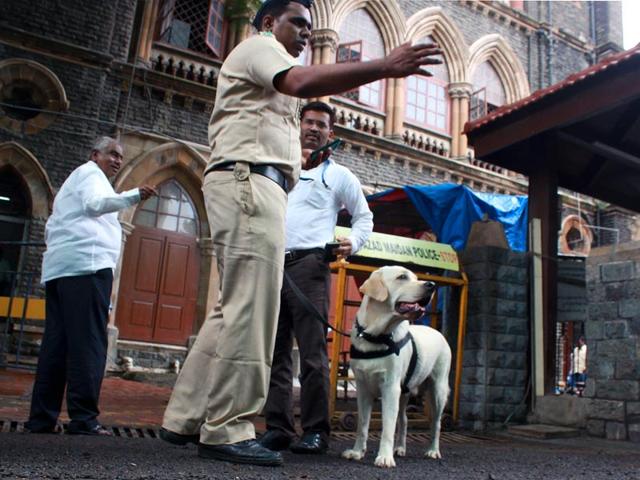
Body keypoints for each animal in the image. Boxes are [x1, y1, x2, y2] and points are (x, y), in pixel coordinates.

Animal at [342, 264, 452, 466]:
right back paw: (400, 448)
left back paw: (433, 450)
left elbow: (388, 426)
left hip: (438, 389)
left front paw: (384, 457)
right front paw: (357, 452)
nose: (432, 285)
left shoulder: (390, 387)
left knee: (436, 423)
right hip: (404, 393)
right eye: (402, 277)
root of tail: (437, 331)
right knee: (404, 419)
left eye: (416, 277)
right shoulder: (363, 388)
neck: (376, 336)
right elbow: (362, 424)